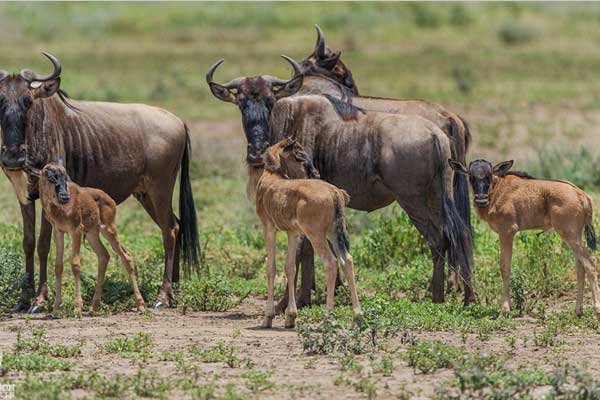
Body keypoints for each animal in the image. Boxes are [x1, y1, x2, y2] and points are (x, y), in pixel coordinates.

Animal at [32, 162, 145, 316]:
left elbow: (75, 264)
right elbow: (58, 266)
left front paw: (77, 308)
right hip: (92, 234)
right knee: (104, 255)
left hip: (108, 229)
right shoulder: (58, 232)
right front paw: (55, 309)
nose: (64, 196)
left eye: (65, 177)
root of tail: (109, 199)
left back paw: (141, 305)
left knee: (126, 256)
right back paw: (94, 307)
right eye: (50, 177)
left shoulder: (76, 230)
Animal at [250, 138, 358, 328]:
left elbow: (271, 267)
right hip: (333, 233)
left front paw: (268, 317)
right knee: (347, 260)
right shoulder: (293, 233)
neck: (271, 176)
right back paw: (358, 316)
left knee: (331, 262)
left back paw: (327, 316)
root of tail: (334, 192)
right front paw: (290, 317)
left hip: (316, 235)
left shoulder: (268, 228)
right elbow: (290, 267)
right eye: (298, 155)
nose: (315, 172)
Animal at [450, 159, 600, 318]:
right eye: (470, 177)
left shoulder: (507, 232)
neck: (497, 189)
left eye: (489, 175)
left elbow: (504, 267)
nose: (481, 200)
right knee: (581, 267)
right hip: (574, 235)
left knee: (590, 263)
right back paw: (578, 310)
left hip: (569, 234)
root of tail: (581, 194)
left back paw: (596, 309)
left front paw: (505, 309)